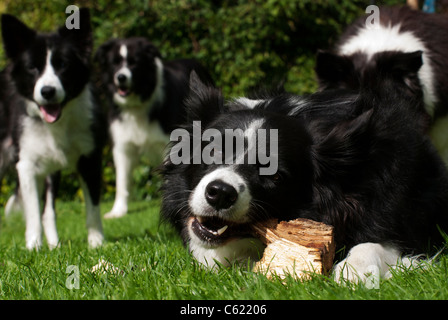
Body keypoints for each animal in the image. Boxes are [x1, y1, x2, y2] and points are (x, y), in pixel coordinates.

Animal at [1, 8, 105, 250]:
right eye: (32, 68)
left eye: (63, 65)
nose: (47, 91)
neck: (58, 124)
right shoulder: (27, 164)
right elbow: (32, 212)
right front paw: (33, 247)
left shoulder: (90, 157)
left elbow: (93, 207)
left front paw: (96, 243)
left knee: (49, 211)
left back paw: (55, 244)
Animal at [94, 37, 214, 218]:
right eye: (114, 63)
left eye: (134, 63)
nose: (121, 77)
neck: (138, 105)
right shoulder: (122, 144)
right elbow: (122, 181)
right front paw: (118, 211)